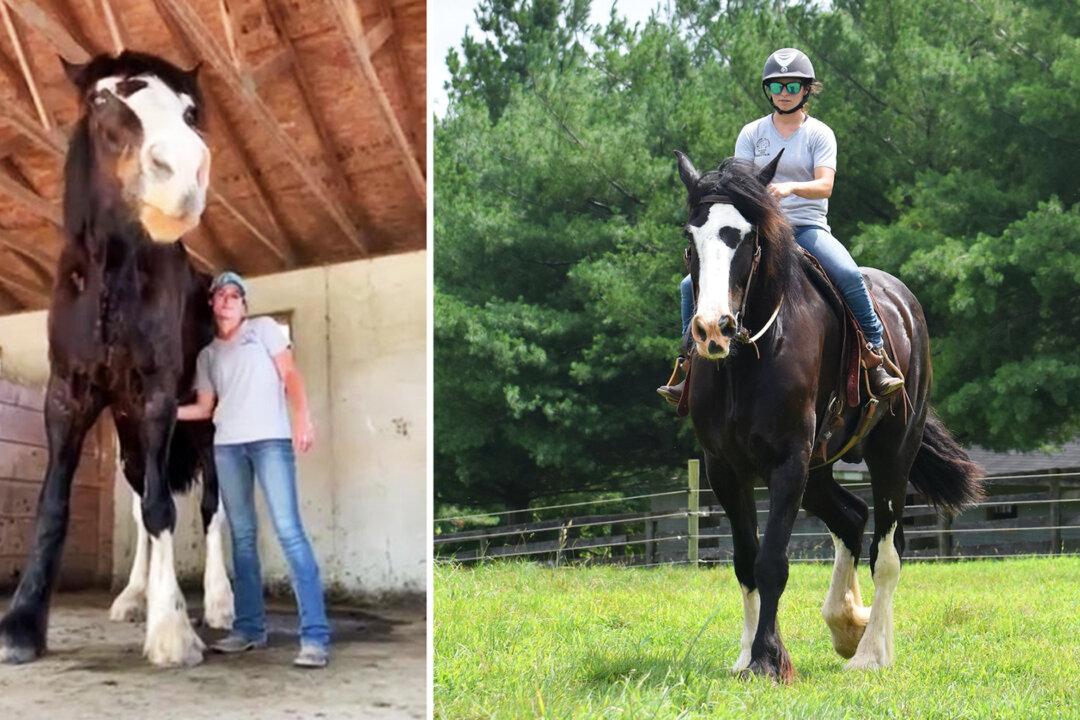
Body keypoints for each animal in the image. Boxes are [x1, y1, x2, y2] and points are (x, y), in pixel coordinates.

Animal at [0, 51, 233, 667]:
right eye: (100, 99)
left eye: (191, 111)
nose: (184, 174)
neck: (110, 277)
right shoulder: (68, 394)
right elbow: (56, 506)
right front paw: (21, 627)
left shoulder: (158, 396)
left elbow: (163, 509)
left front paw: (173, 632)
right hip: (128, 431)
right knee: (142, 501)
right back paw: (134, 596)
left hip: (203, 425)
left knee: (213, 504)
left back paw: (219, 604)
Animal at [674, 150, 984, 681]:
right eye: (691, 237)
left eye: (746, 237)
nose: (714, 328)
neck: (750, 357)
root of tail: (906, 305)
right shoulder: (724, 468)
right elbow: (745, 560)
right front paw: (746, 655)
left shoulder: (789, 462)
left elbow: (772, 563)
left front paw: (768, 660)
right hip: (819, 471)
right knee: (852, 518)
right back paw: (846, 622)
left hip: (891, 455)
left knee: (887, 552)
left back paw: (871, 652)